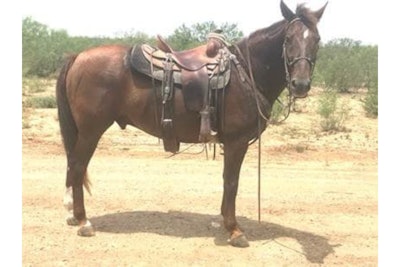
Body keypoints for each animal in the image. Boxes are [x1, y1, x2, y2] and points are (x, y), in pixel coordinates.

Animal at [57, 1, 326, 249]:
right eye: (288, 39)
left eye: (317, 40)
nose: (301, 84)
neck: (246, 74)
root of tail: (77, 57)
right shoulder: (237, 141)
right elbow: (232, 182)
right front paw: (234, 230)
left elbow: (227, 181)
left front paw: (224, 220)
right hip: (91, 131)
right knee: (78, 166)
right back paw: (83, 221)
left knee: (73, 166)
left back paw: (72, 214)